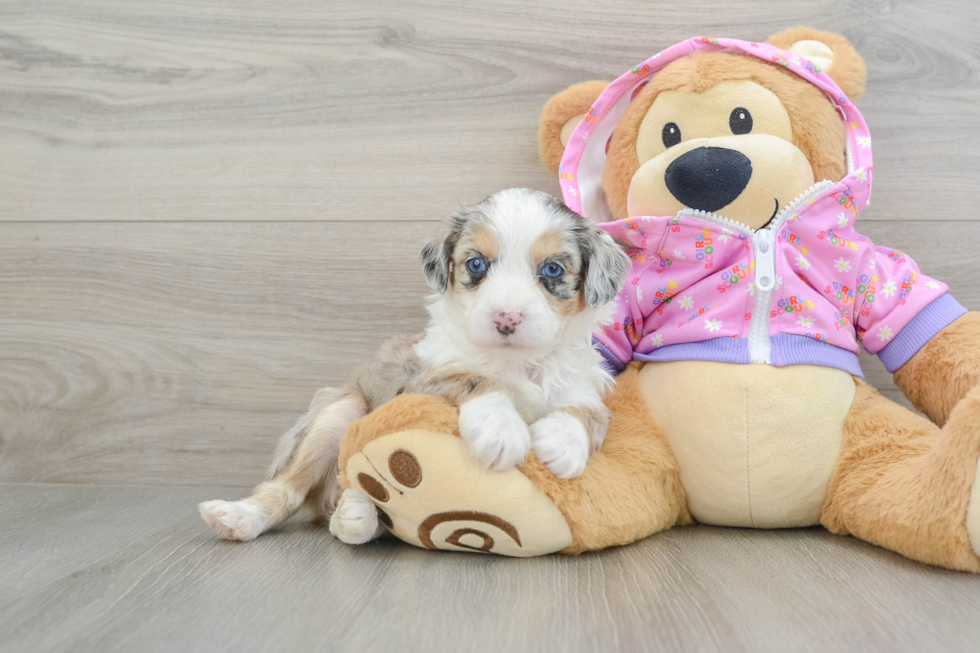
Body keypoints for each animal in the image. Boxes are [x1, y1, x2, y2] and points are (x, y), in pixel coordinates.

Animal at [199, 188, 628, 544]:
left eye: (552, 270)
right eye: (476, 264)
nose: (506, 318)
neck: (516, 361)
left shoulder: (585, 382)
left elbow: (589, 411)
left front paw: (562, 441)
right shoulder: (419, 379)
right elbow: (472, 378)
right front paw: (501, 429)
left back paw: (356, 512)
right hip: (341, 411)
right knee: (287, 489)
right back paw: (240, 517)